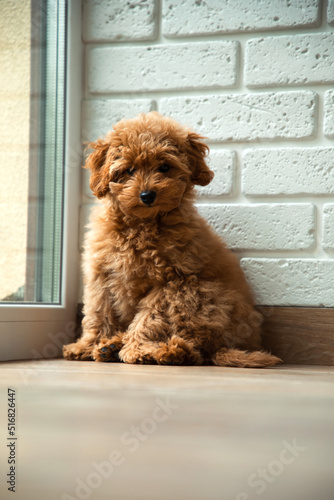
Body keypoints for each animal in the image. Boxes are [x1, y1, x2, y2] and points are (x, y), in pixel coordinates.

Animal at [63, 112, 282, 368]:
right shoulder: (101, 274)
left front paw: (137, 350)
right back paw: (111, 346)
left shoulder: (170, 282)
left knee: (197, 351)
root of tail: (226, 347)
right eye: (128, 170)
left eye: (165, 167)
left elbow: (149, 318)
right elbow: (97, 312)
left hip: (199, 292)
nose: (147, 195)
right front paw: (87, 345)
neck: (141, 225)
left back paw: (168, 352)